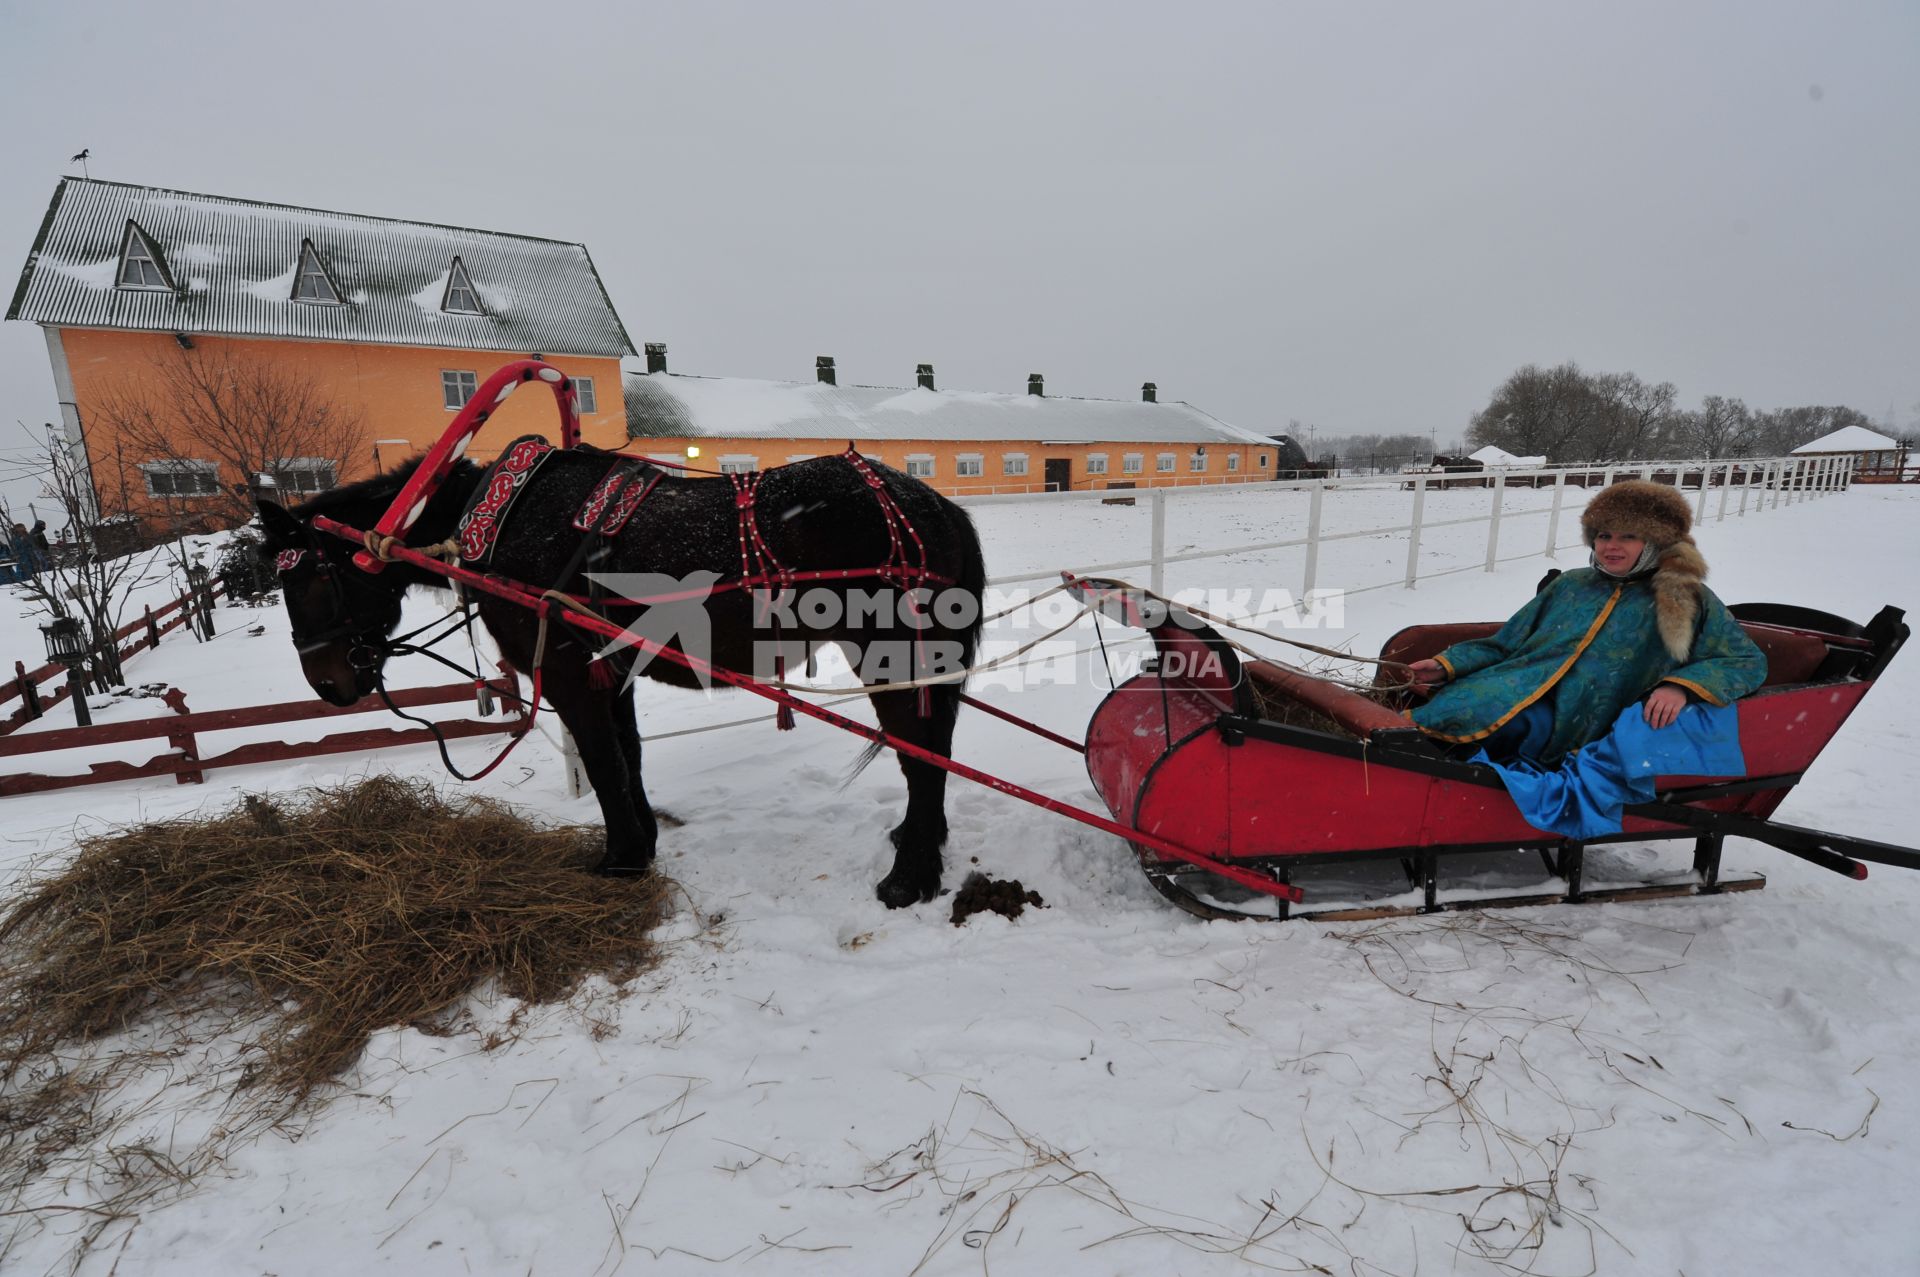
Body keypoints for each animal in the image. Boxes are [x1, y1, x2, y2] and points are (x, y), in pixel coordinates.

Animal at [263, 447, 983, 906]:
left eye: (305, 577)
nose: (325, 683)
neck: (497, 525)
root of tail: (936, 506)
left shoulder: (566, 671)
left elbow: (604, 763)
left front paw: (621, 858)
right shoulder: (611, 669)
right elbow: (627, 756)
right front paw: (644, 839)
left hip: (892, 654)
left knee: (922, 758)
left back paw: (910, 876)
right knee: (933, 752)